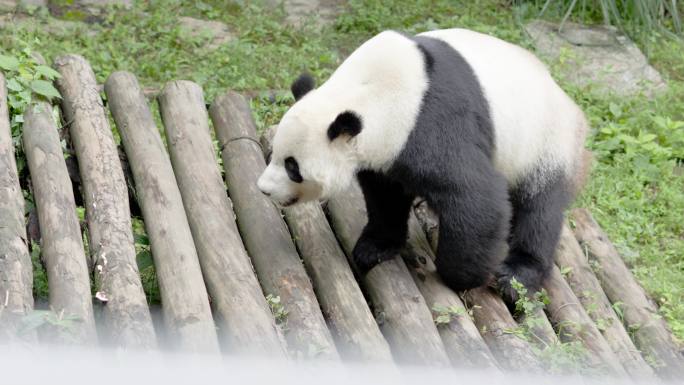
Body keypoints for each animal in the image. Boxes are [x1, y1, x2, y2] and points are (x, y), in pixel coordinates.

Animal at [256, 29, 588, 300]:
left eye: (293, 168)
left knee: (539, 210)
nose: (264, 190)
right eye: (275, 155)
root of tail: (571, 106)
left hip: (545, 142)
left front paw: (463, 277)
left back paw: (516, 275)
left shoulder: (431, 121)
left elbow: (476, 196)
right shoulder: (387, 150)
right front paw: (375, 247)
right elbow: (385, 196)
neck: (370, 90)